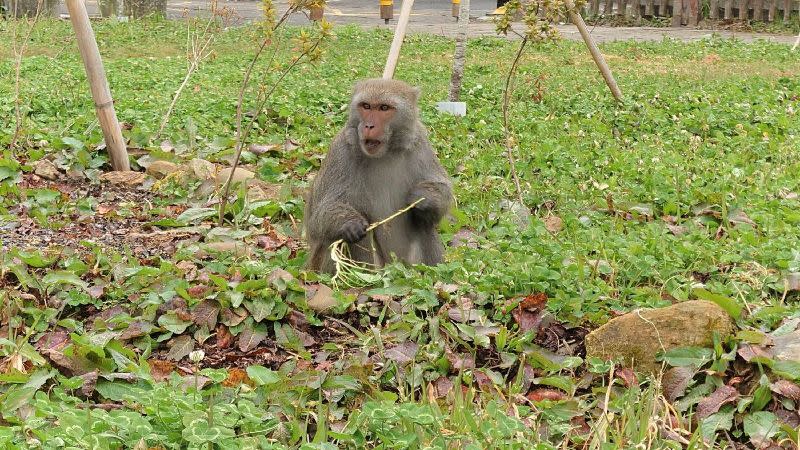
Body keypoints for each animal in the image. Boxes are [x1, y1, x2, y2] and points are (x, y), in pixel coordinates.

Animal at [306, 78, 454, 272]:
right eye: (366, 106)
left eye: (384, 108)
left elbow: (442, 190)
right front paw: (349, 223)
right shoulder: (341, 151)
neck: (385, 154)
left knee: (424, 224)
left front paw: (424, 197)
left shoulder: (420, 143)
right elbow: (317, 218)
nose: (369, 126)